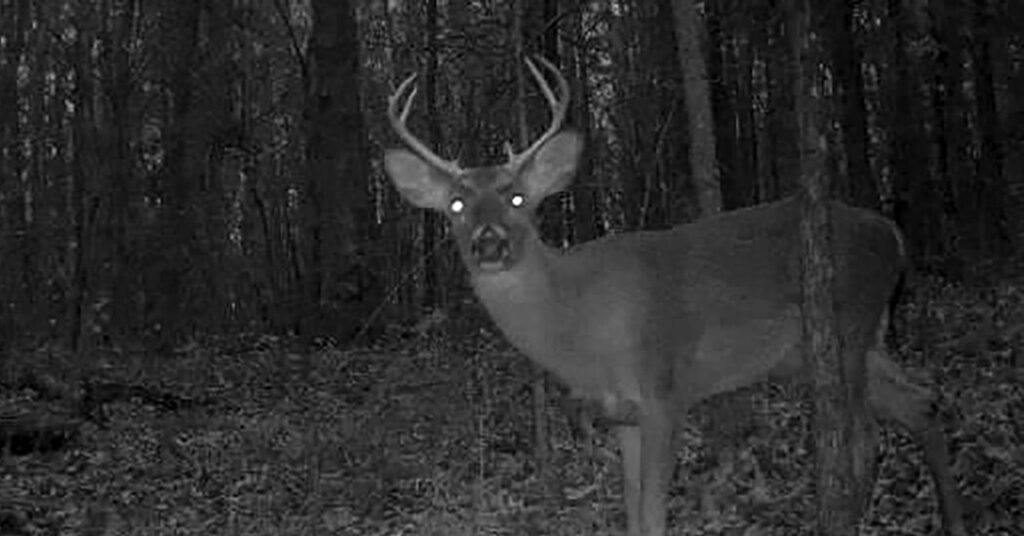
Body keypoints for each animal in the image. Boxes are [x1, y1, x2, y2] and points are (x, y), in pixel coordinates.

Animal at [382, 56, 966, 536]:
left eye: (519, 198)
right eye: (457, 205)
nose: (489, 243)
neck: (581, 321)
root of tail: (892, 233)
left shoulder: (664, 390)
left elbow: (654, 514)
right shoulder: (621, 413)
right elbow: (633, 513)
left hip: (845, 328)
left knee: (866, 438)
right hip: (843, 345)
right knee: (922, 403)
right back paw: (954, 520)